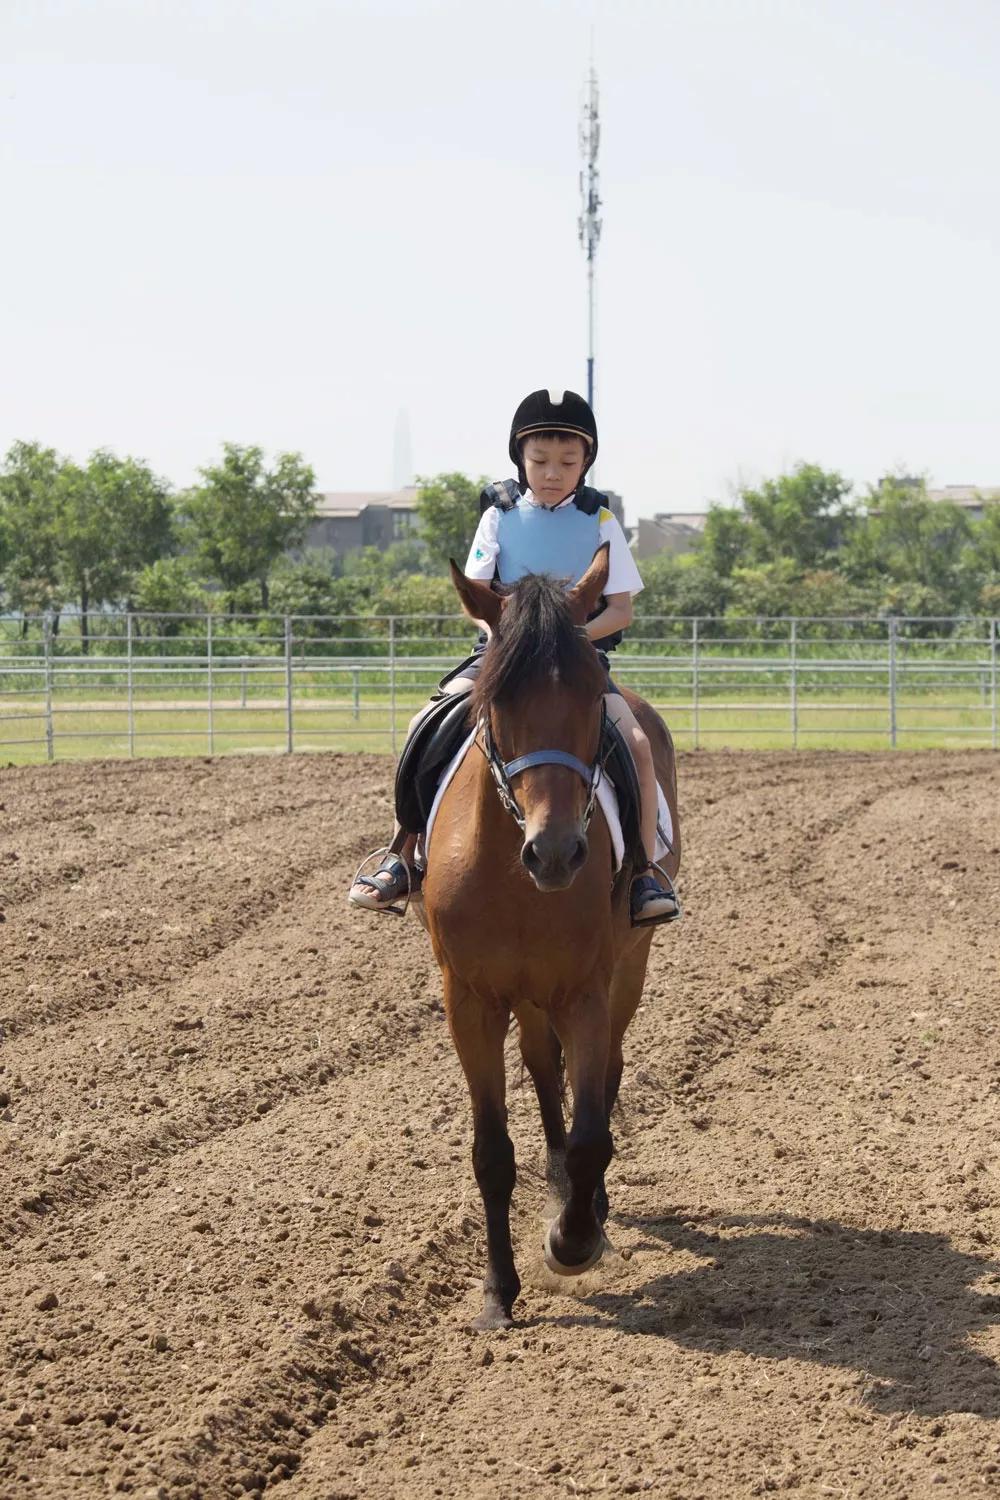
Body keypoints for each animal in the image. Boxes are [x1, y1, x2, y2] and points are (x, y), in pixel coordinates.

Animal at [422, 549, 680, 1326]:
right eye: (500, 701)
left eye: (593, 696)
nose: (557, 852)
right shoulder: (470, 1001)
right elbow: (492, 1151)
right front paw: (497, 1291)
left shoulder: (587, 991)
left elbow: (595, 1126)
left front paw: (573, 1242)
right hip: (527, 996)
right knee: (542, 1070)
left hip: (624, 970)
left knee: (603, 1074)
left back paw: (586, 1204)